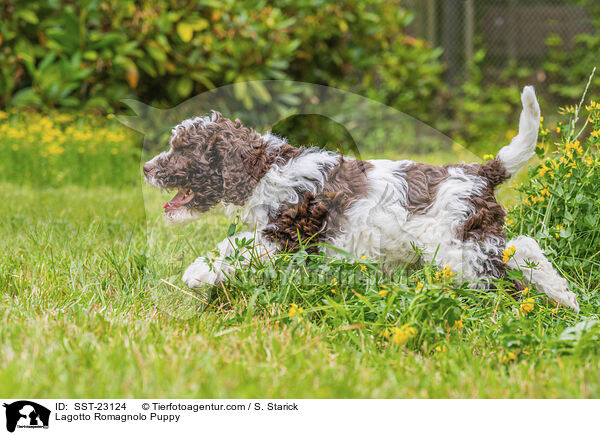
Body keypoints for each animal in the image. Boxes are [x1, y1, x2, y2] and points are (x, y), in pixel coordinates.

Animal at [143, 86, 580, 310]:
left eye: (182, 149)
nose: (146, 168)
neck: (264, 168)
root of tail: (479, 171)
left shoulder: (287, 232)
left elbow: (235, 245)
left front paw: (196, 273)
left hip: (460, 253)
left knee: (508, 277)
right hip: (476, 240)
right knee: (524, 246)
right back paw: (566, 297)